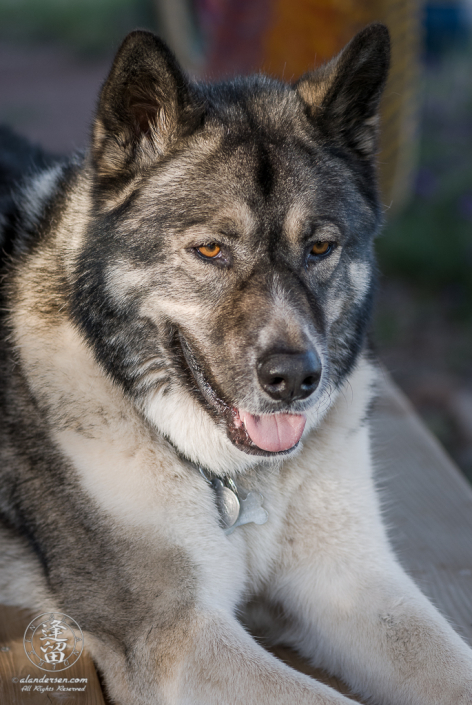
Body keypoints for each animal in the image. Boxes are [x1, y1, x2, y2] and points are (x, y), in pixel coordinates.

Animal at [0, 22, 472, 704]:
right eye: (210, 250)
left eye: (320, 247)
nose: (296, 380)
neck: (238, 480)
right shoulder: (176, 635)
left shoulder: (353, 581)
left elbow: (452, 666)